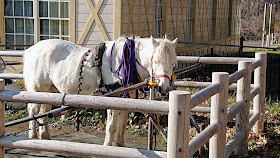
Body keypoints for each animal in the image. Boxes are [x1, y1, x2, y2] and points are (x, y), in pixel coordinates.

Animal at [24, 36, 177, 146]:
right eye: (155, 61)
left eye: (173, 63)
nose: (164, 88)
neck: (126, 61)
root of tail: (30, 50)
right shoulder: (112, 98)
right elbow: (112, 125)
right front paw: (108, 146)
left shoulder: (125, 98)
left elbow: (122, 122)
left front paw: (120, 145)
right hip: (37, 90)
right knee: (33, 109)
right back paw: (33, 137)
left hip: (49, 91)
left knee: (44, 111)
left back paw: (44, 136)